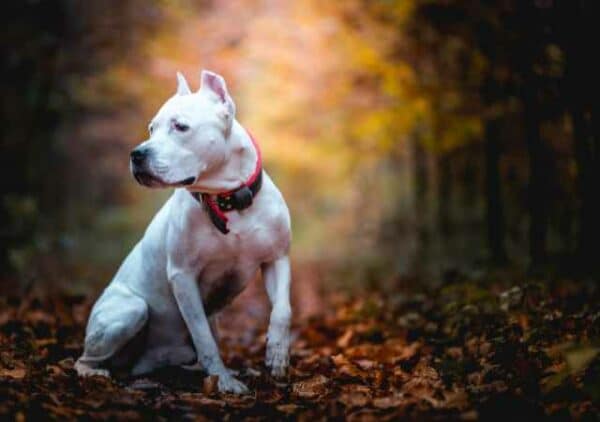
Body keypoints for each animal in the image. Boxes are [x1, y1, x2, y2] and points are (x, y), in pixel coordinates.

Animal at [74, 67, 294, 394]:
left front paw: (277, 355)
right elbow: (203, 336)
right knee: (84, 358)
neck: (226, 200)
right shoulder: (183, 276)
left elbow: (282, 310)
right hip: (130, 309)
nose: (136, 154)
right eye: (151, 128)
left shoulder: (276, 259)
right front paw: (224, 382)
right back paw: (95, 373)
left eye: (180, 126)